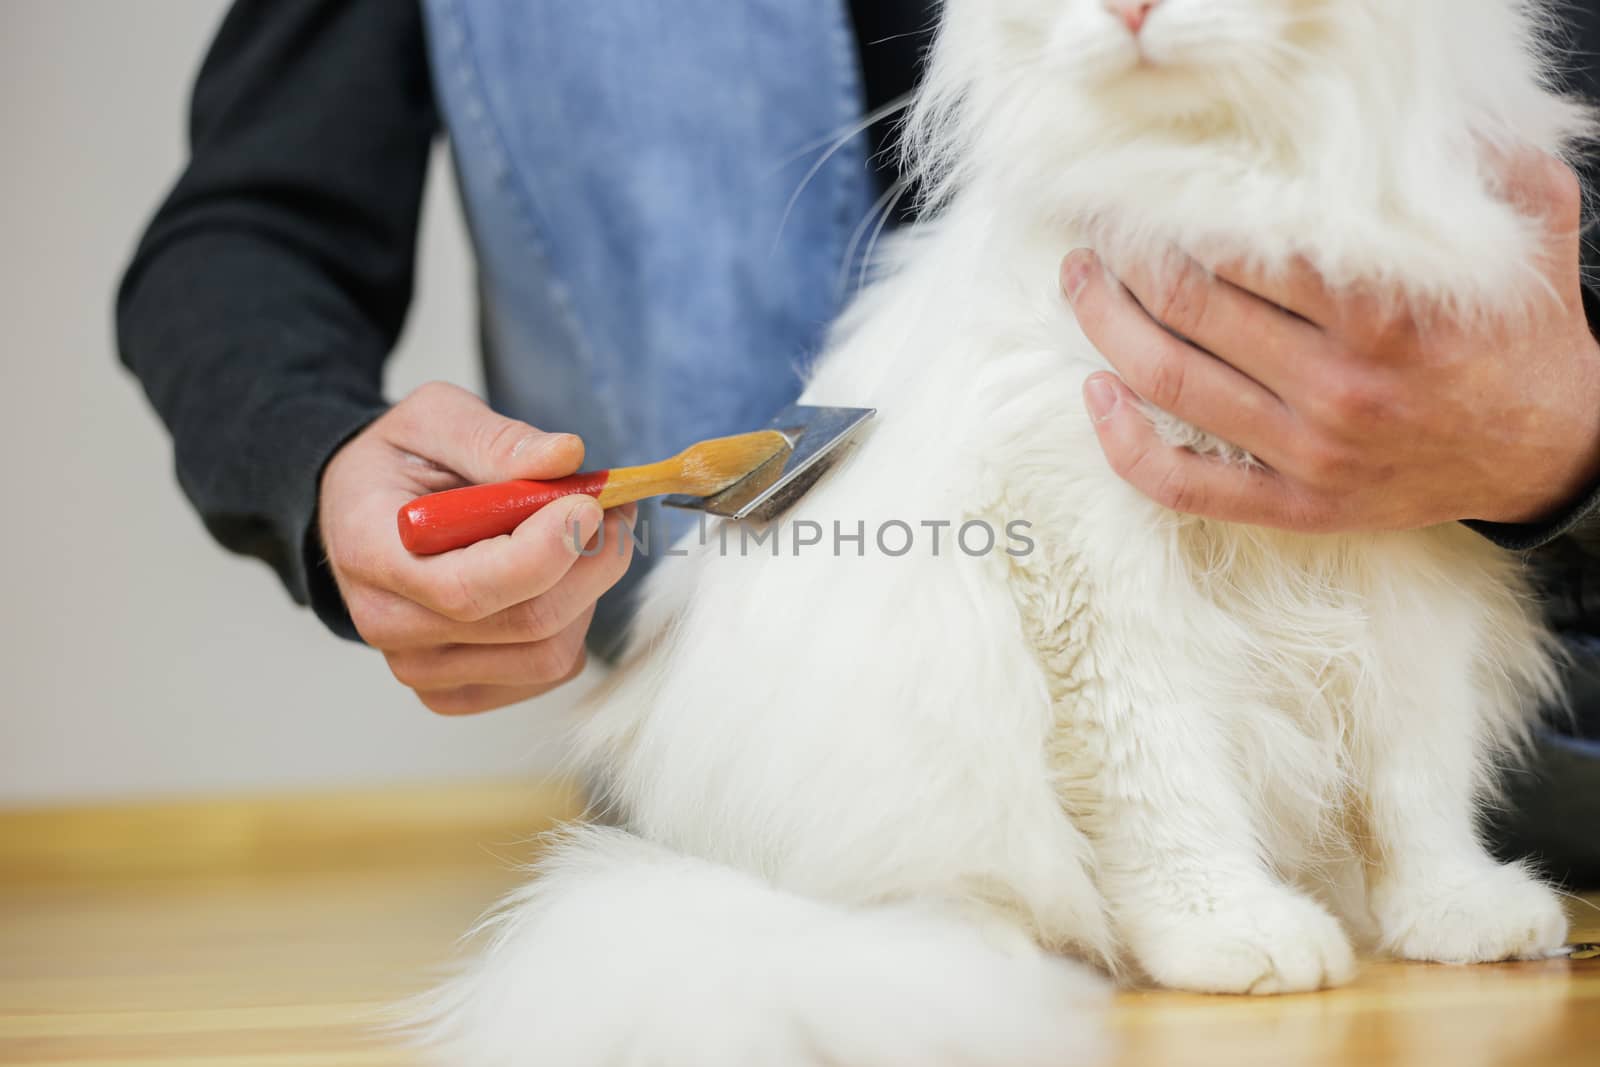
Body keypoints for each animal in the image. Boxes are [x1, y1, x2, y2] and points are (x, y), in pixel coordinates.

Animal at [422, 0, 1587, 1062]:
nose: (1130, 8)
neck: (1222, 184)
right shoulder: (1088, 563)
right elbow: (1168, 786)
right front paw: (1232, 933)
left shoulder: (1405, 552)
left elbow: (1417, 786)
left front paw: (1458, 915)